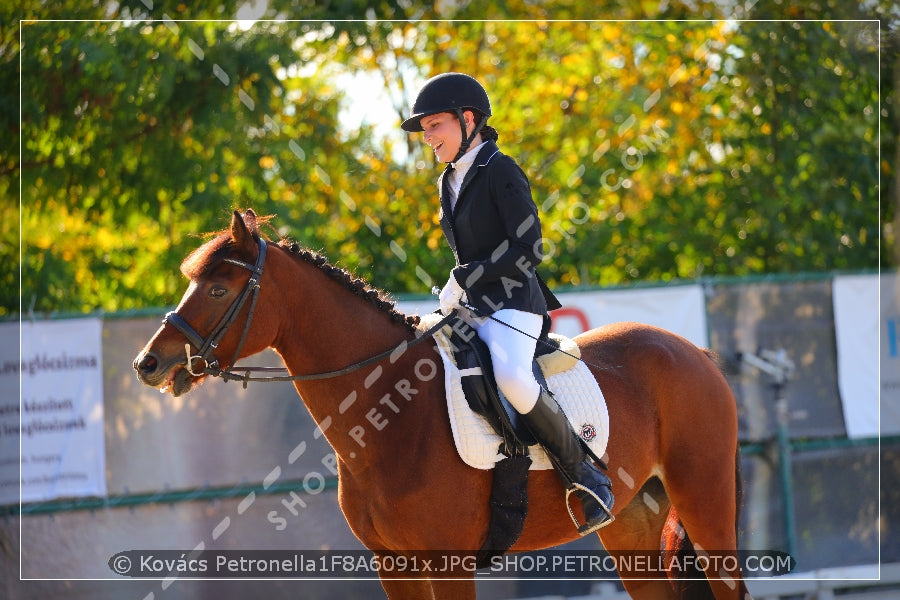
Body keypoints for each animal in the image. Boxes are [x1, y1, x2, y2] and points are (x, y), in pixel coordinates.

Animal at [135, 210, 752, 600]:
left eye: (218, 289)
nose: (150, 363)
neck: (388, 415)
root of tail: (690, 350)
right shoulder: (394, 565)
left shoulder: (449, 564)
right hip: (631, 525)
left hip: (705, 503)